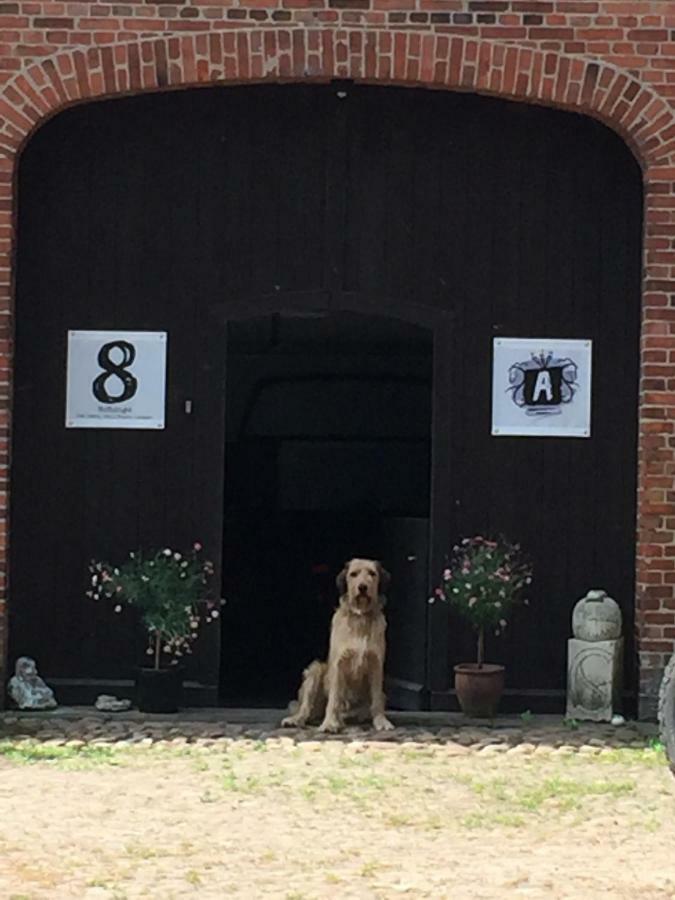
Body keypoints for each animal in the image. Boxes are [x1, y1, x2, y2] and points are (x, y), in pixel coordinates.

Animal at [282, 556, 396, 732]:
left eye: (372, 573)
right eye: (353, 574)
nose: (362, 587)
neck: (360, 617)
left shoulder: (376, 665)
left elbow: (377, 698)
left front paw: (381, 721)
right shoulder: (338, 664)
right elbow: (334, 698)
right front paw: (329, 723)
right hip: (315, 670)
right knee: (306, 707)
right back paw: (297, 719)